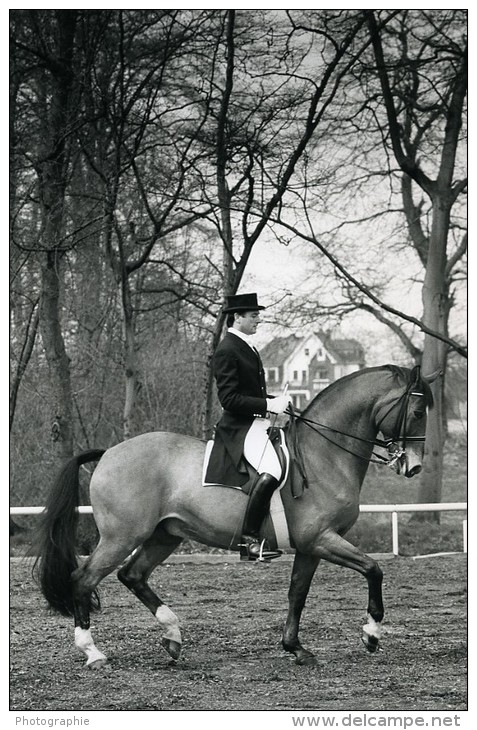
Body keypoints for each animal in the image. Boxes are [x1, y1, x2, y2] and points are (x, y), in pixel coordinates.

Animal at [33, 364, 434, 664]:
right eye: (417, 411)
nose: (414, 467)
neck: (323, 455)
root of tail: (109, 453)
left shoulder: (310, 546)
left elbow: (297, 592)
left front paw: (295, 648)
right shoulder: (322, 539)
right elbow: (373, 569)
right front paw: (371, 635)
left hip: (165, 535)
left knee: (132, 575)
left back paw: (173, 635)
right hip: (123, 536)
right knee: (84, 578)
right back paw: (93, 652)